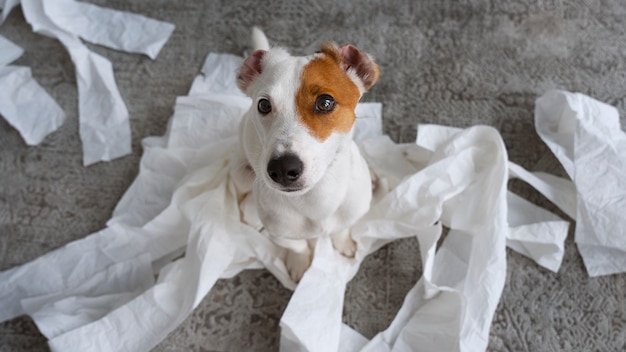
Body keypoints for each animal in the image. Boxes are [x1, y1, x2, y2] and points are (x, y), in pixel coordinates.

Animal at [232, 27, 378, 282]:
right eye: (263, 105)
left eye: (325, 102)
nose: (282, 168)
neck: (317, 199)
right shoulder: (280, 233)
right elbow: (297, 246)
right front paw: (299, 263)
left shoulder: (349, 214)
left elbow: (341, 230)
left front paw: (344, 243)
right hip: (241, 173)